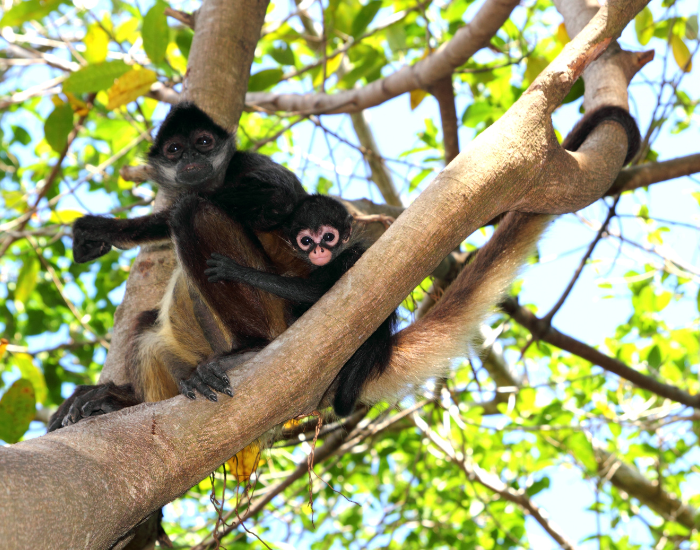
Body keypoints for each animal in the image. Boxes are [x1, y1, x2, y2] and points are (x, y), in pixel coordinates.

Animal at [203, 194, 398, 416]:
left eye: (328, 237)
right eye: (306, 241)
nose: (319, 249)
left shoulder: (346, 258)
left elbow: (313, 291)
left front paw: (236, 271)